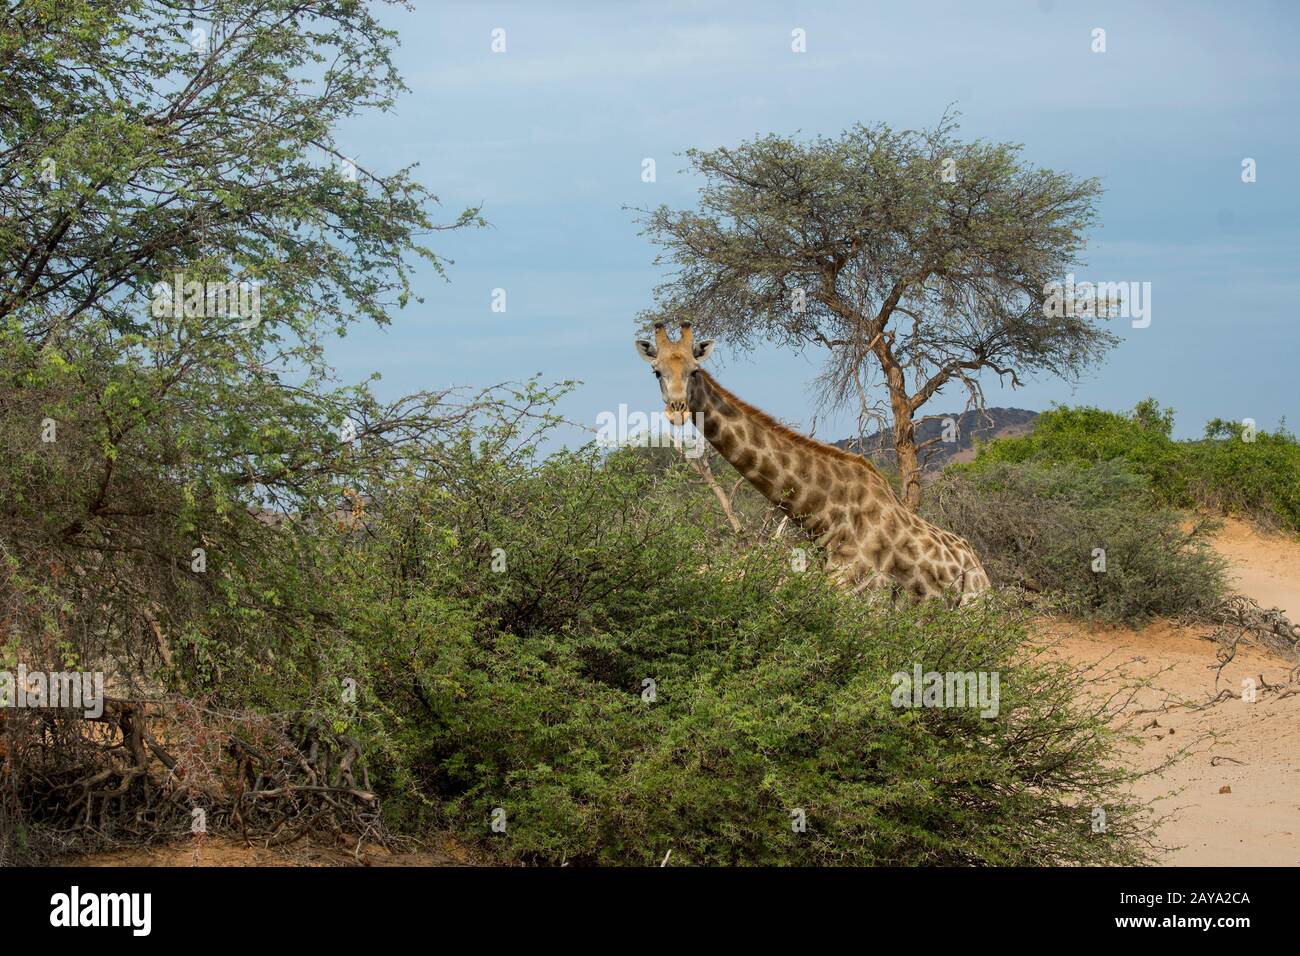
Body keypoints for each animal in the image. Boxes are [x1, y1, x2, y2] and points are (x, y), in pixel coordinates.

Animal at [634, 321, 987, 606]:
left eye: (694, 370)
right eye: (656, 371)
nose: (677, 412)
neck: (824, 517)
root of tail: (981, 570)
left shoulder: (863, 599)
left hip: (973, 609)